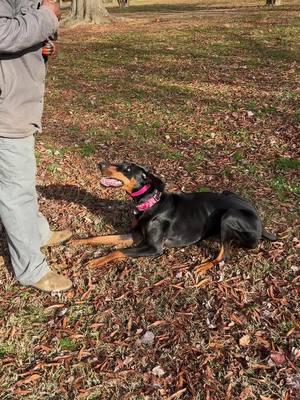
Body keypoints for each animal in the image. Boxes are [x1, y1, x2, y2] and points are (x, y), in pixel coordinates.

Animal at [71, 161, 276, 274]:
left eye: (127, 168)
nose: (100, 164)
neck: (151, 203)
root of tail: (261, 225)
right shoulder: (134, 234)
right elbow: (100, 238)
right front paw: (77, 241)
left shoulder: (154, 247)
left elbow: (117, 251)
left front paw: (95, 261)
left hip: (229, 216)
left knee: (224, 254)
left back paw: (203, 266)